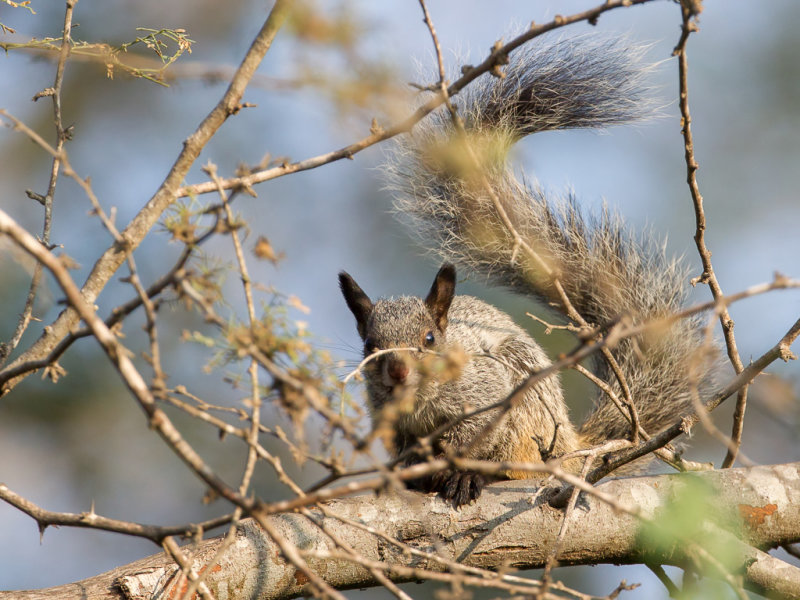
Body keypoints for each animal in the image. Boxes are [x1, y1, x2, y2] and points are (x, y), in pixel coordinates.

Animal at [338, 36, 720, 506]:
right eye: (369, 345)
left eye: (429, 339)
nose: (398, 372)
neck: (421, 402)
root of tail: (572, 442)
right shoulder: (391, 421)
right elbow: (405, 447)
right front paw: (406, 468)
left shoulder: (488, 392)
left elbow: (474, 435)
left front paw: (453, 462)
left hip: (527, 405)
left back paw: (473, 477)